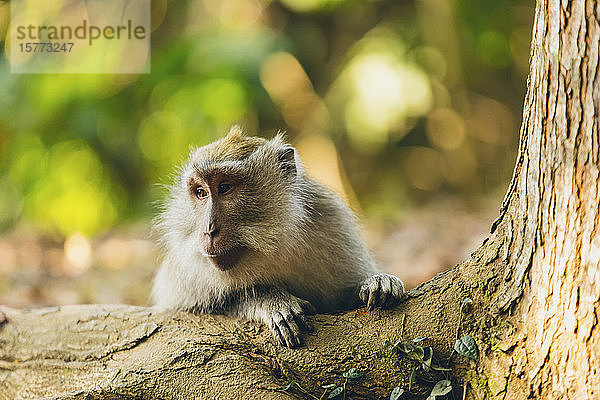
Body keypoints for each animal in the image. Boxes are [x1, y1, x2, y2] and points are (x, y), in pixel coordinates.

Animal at [152, 126, 408, 346]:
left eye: (224, 187)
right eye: (201, 192)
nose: (209, 229)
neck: (272, 245)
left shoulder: (331, 221)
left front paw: (377, 282)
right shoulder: (185, 271)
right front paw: (269, 300)